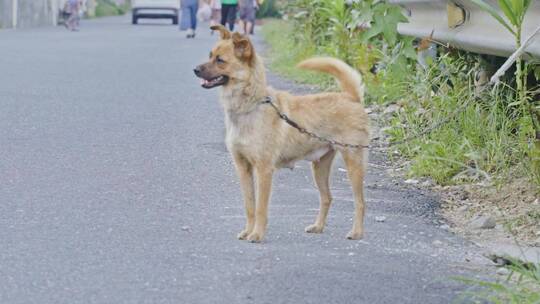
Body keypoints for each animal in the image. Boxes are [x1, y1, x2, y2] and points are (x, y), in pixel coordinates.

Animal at [195, 25, 372, 242]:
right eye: (210, 55)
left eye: (220, 60)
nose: (195, 70)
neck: (250, 105)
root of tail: (350, 97)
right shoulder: (243, 168)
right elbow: (249, 206)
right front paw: (248, 230)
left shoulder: (264, 170)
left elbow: (261, 208)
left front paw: (257, 234)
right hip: (320, 167)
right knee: (327, 197)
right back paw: (318, 226)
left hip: (353, 162)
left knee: (360, 202)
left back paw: (357, 232)